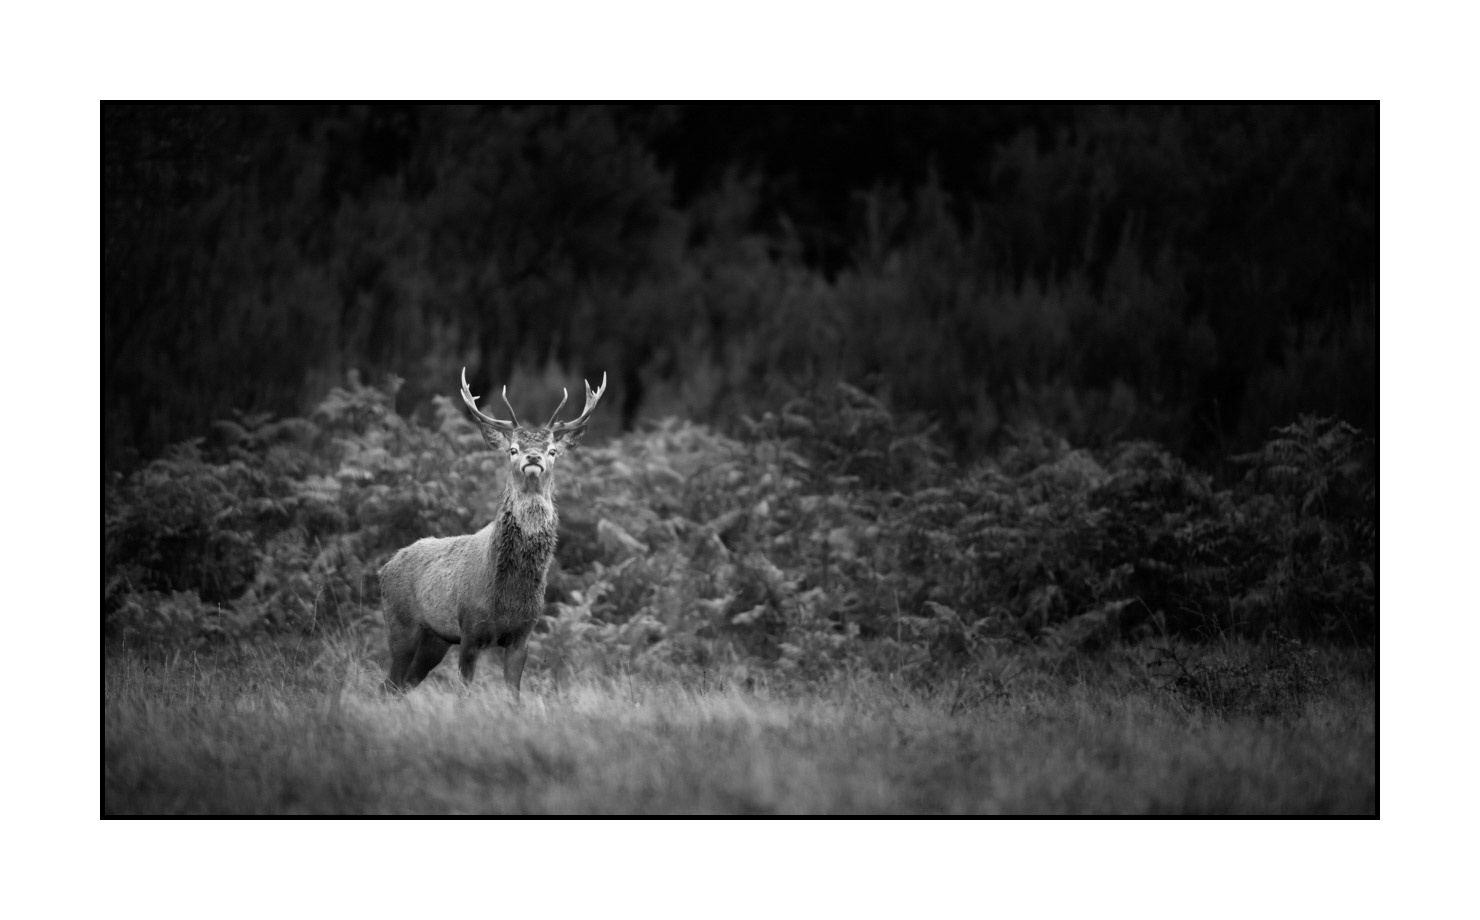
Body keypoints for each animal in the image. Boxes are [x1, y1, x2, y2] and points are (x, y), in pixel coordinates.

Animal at [378, 367, 606, 699]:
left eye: (552, 450)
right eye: (513, 449)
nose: (533, 457)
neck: (507, 596)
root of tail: (383, 568)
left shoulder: (523, 634)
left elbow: (514, 695)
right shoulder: (470, 629)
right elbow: (464, 693)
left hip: (435, 639)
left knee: (401, 685)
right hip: (401, 623)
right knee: (388, 684)